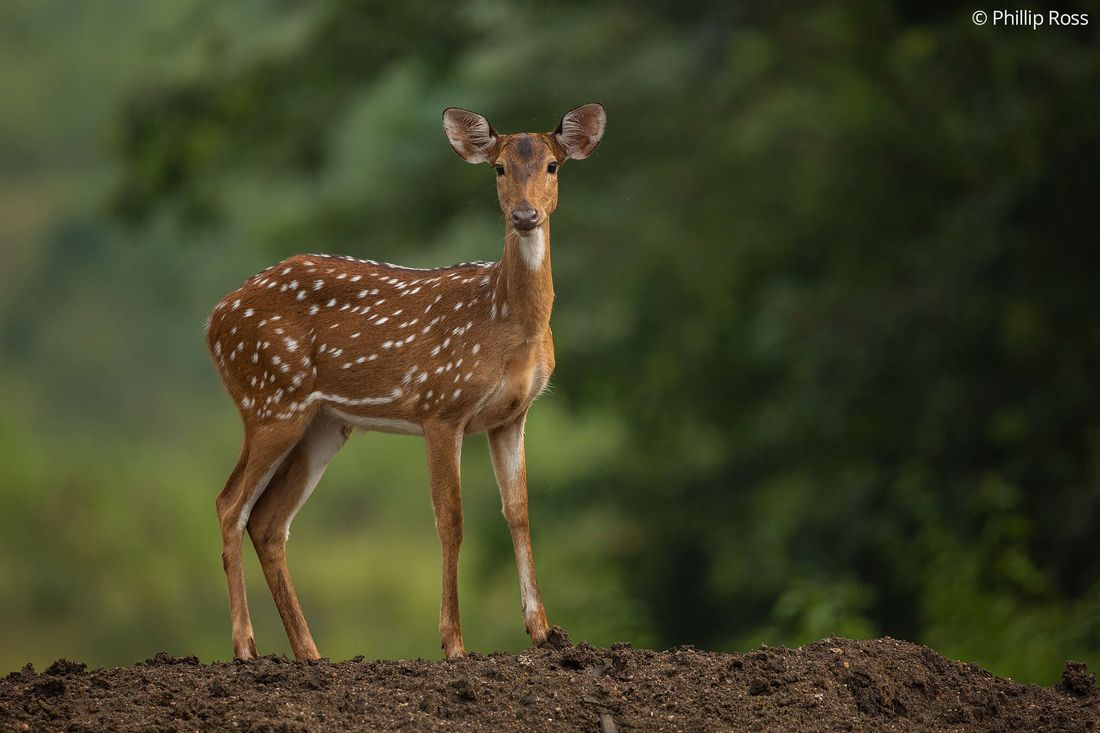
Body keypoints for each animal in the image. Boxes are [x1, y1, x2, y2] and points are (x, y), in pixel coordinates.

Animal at [205, 103, 606, 660]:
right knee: (230, 505)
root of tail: (214, 320)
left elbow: (519, 511)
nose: (525, 216)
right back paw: (246, 648)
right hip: (270, 399)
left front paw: (544, 630)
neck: (505, 321)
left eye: (552, 165)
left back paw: (310, 654)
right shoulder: (440, 404)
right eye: (498, 168)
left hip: (322, 423)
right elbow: (450, 519)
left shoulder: (511, 416)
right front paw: (453, 643)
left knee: (267, 521)